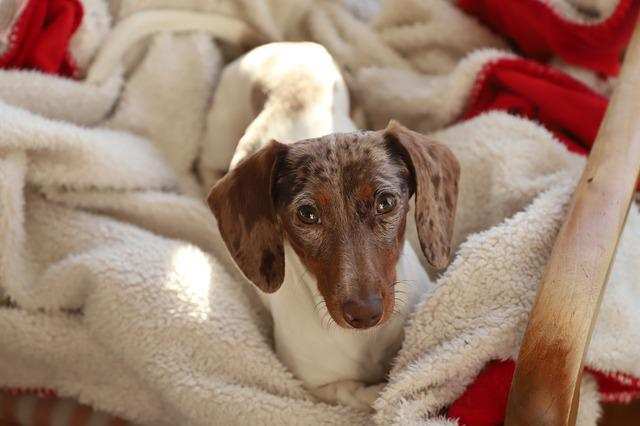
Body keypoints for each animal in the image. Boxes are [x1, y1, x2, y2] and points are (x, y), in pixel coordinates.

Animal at [202, 42, 458, 410]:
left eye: (386, 202)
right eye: (307, 214)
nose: (364, 313)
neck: (363, 341)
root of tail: (285, 46)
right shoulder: (318, 386)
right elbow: (367, 392)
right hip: (220, 130)